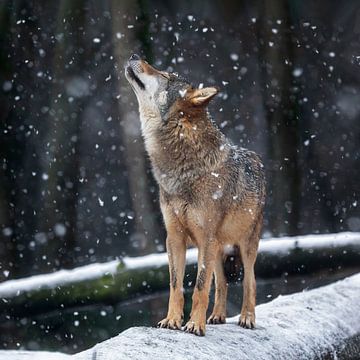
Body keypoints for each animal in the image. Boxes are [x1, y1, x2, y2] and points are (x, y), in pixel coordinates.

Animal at [125, 54, 266, 338]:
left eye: (165, 75)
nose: (134, 55)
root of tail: (257, 159)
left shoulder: (206, 238)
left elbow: (200, 287)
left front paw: (194, 325)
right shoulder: (175, 238)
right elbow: (175, 285)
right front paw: (172, 320)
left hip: (244, 246)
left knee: (250, 281)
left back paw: (246, 318)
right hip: (219, 249)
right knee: (222, 282)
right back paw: (218, 316)